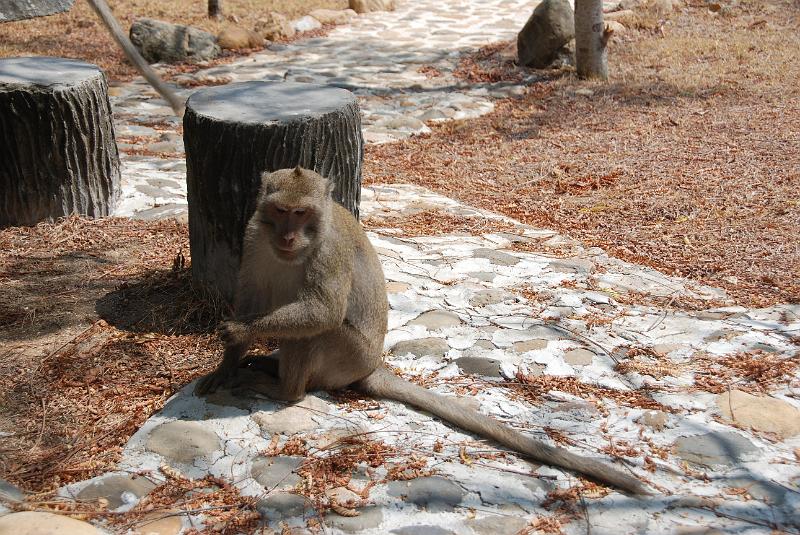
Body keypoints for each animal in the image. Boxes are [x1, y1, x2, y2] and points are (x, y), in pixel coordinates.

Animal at [197, 168, 652, 498]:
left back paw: (283, 389)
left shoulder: (329, 250)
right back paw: (265, 368)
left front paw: (239, 332)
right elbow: (251, 296)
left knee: (317, 332)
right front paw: (226, 364)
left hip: (347, 356)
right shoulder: (254, 236)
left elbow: (322, 311)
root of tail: (371, 366)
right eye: (279, 211)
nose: (289, 236)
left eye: (302, 213)